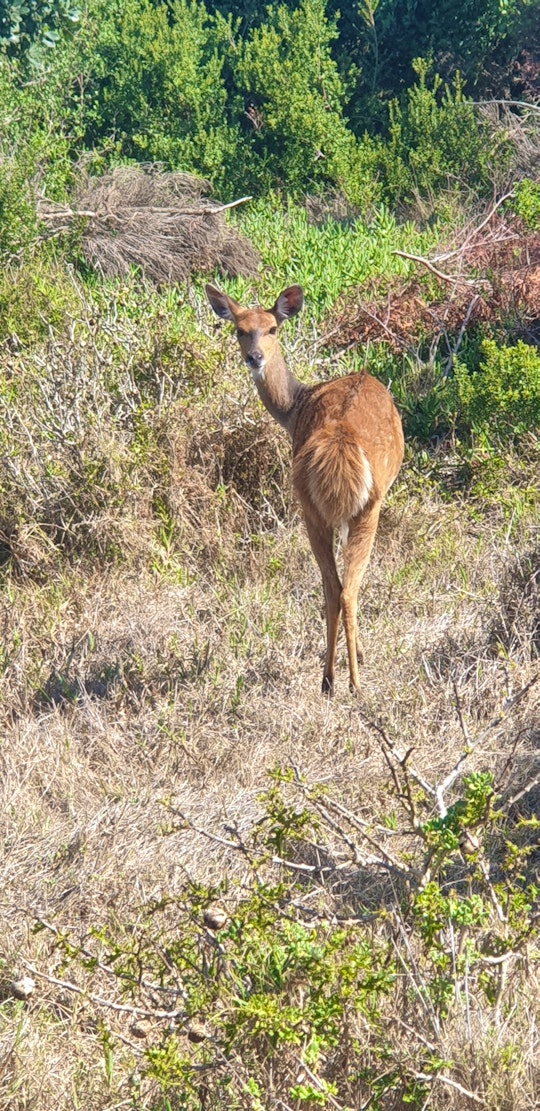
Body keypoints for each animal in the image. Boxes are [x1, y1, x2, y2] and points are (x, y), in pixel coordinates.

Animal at [206, 282, 404, 693]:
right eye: (239, 329)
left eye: (272, 328)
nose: (254, 357)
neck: (296, 406)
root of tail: (341, 442)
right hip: (362, 508)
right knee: (343, 588)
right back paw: (346, 681)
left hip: (318, 509)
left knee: (336, 587)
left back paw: (334, 678)